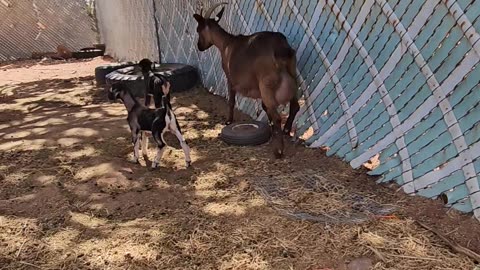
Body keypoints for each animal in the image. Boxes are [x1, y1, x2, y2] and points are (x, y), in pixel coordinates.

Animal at [192, 2, 298, 158]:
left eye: (198, 30)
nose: (199, 47)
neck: (226, 43)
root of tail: (279, 49)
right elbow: (264, 108)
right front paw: (271, 128)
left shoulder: (229, 78)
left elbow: (231, 101)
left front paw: (228, 121)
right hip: (293, 75)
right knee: (295, 106)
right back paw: (285, 130)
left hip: (266, 85)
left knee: (278, 116)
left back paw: (278, 150)